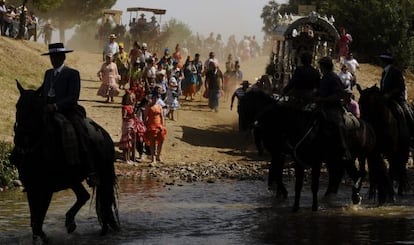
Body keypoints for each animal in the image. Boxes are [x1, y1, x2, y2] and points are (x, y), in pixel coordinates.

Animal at [10, 81, 119, 244]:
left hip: (103, 175)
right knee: (84, 196)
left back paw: (104, 228)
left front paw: (45, 238)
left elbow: (38, 220)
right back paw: (70, 222)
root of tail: (104, 135)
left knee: (103, 202)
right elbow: (34, 221)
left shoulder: (46, 189)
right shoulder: (32, 188)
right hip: (73, 179)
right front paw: (39, 238)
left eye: (35, 109)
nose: (20, 140)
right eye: (18, 106)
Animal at [241, 89, 374, 211]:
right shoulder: (286, 155)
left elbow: (279, 173)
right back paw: (342, 196)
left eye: (241, 106)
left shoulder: (282, 154)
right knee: (347, 174)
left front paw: (284, 193)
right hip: (339, 158)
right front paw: (287, 199)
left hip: (348, 157)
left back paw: (353, 197)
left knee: (354, 173)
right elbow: (285, 177)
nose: (247, 126)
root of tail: (365, 126)